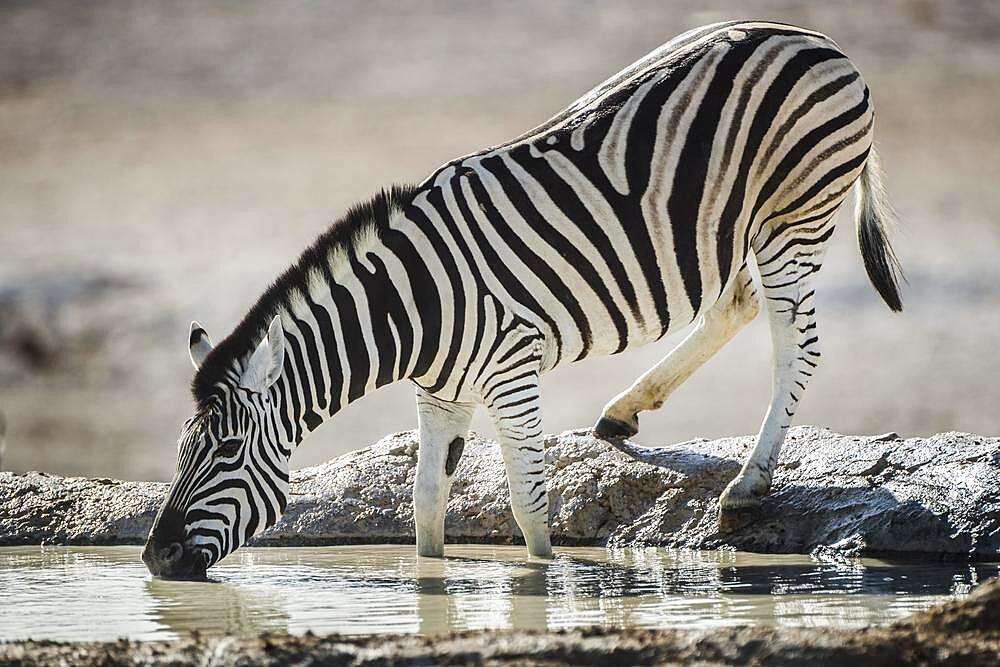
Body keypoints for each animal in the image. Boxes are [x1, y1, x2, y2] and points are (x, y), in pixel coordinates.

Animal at [145, 18, 904, 576]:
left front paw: (544, 578)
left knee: (796, 343)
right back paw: (624, 412)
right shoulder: (442, 391)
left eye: (227, 452)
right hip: (746, 226)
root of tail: (819, 41)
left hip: (794, 214)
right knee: (739, 301)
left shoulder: (511, 371)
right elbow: (427, 502)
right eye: (181, 450)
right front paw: (429, 581)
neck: (410, 307)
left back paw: (748, 484)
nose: (155, 558)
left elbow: (528, 501)